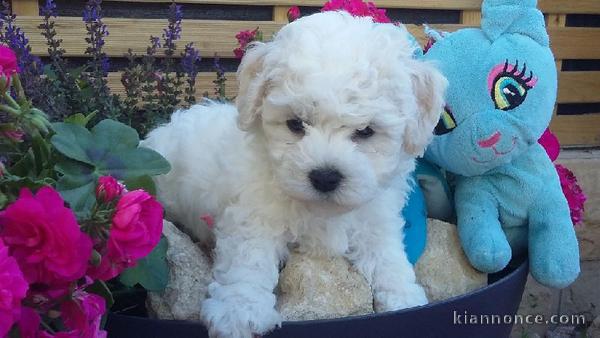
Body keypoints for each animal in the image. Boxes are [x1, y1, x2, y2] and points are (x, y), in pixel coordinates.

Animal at [143, 10, 448, 338]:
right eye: (295, 124)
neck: (322, 212)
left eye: (366, 131)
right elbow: (248, 260)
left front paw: (406, 298)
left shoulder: (376, 220)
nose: (325, 177)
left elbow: (388, 259)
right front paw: (238, 309)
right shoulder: (254, 215)